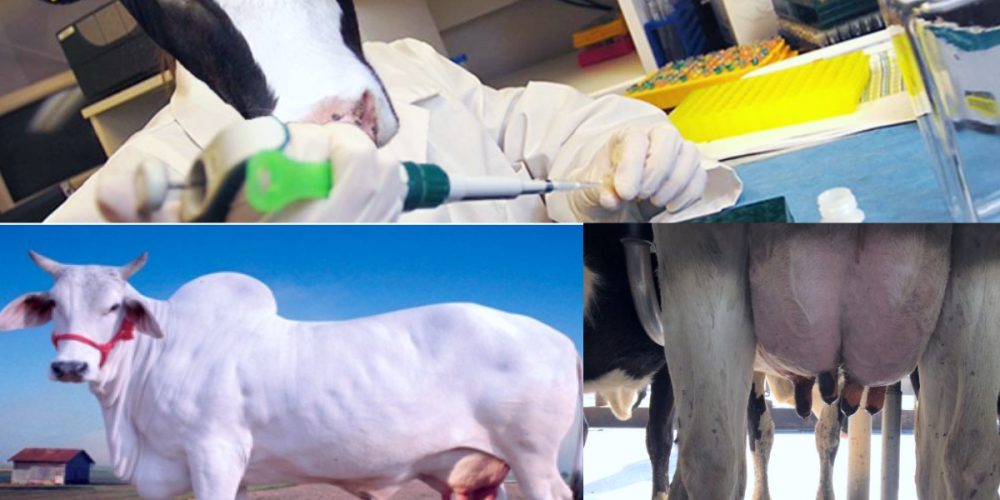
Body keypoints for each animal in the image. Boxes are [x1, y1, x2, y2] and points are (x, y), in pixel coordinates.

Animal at [0, 253, 582, 500]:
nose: (70, 366)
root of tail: (560, 338)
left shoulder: (215, 454)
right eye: (55, 305)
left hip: (533, 460)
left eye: (115, 306)